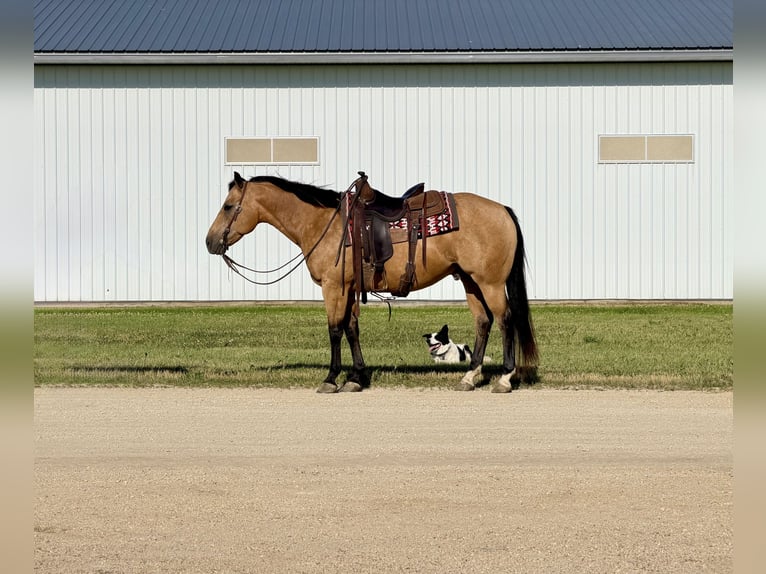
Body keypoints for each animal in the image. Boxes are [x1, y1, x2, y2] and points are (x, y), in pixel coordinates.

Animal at [206, 172, 538, 394]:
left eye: (227, 206)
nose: (210, 242)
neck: (323, 224)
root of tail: (503, 210)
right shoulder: (351, 289)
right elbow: (352, 329)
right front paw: (357, 378)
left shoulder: (334, 287)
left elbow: (334, 330)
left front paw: (331, 379)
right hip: (470, 280)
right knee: (483, 321)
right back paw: (470, 377)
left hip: (490, 282)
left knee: (505, 320)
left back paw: (504, 379)